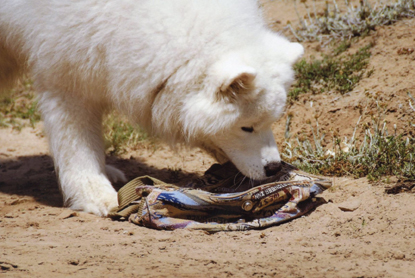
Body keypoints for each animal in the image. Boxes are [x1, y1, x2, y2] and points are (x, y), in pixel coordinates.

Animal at [0, 0, 306, 216]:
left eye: (270, 123)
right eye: (246, 127)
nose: (274, 169)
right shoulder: (65, 82)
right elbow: (77, 146)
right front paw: (96, 195)